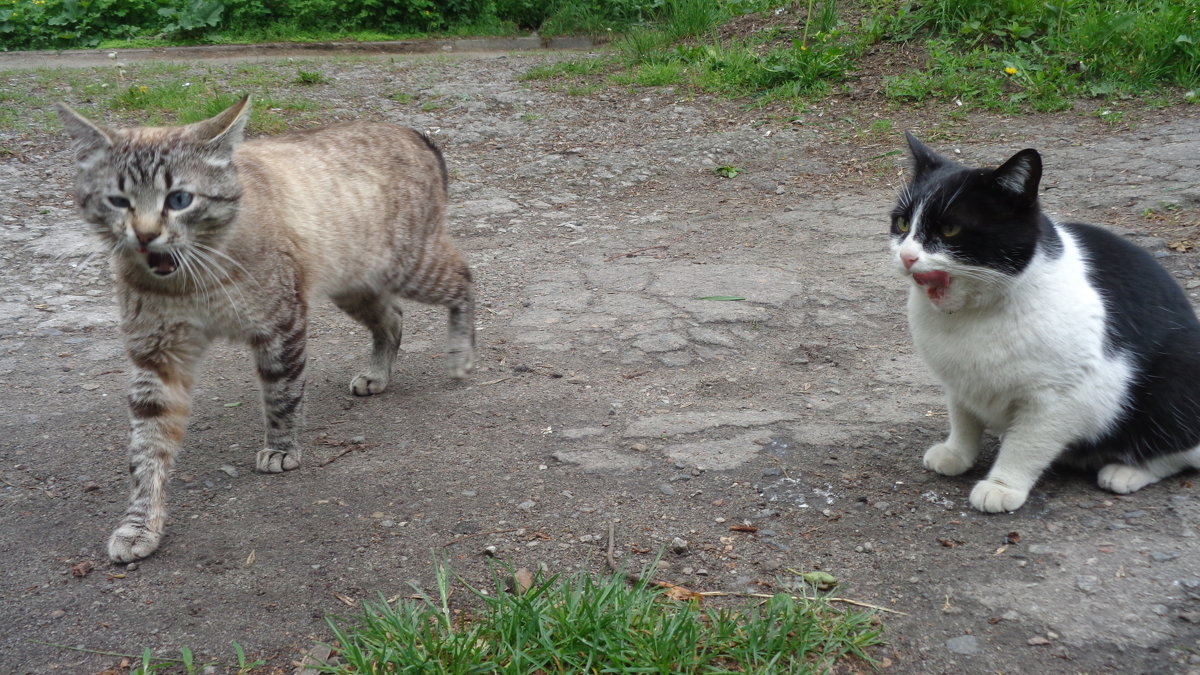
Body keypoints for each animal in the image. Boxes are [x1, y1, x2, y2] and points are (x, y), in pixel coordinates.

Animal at [58, 97, 475, 559]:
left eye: (179, 199)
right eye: (118, 200)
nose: (145, 235)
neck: (189, 279)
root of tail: (408, 130)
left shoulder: (280, 327)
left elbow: (281, 396)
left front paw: (281, 449)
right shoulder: (156, 356)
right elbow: (146, 450)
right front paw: (138, 526)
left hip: (413, 267)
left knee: (465, 280)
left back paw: (461, 356)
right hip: (355, 286)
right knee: (393, 319)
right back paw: (378, 374)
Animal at [888, 131, 1200, 509]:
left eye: (949, 229)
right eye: (903, 223)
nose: (906, 255)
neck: (972, 316)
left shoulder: (1061, 398)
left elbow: (1027, 445)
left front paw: (1002, 485)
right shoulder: (959, 382)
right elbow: (964, 419)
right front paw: (957, 453)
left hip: (1179, 368)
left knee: (1180, 450)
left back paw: (1127, 471)